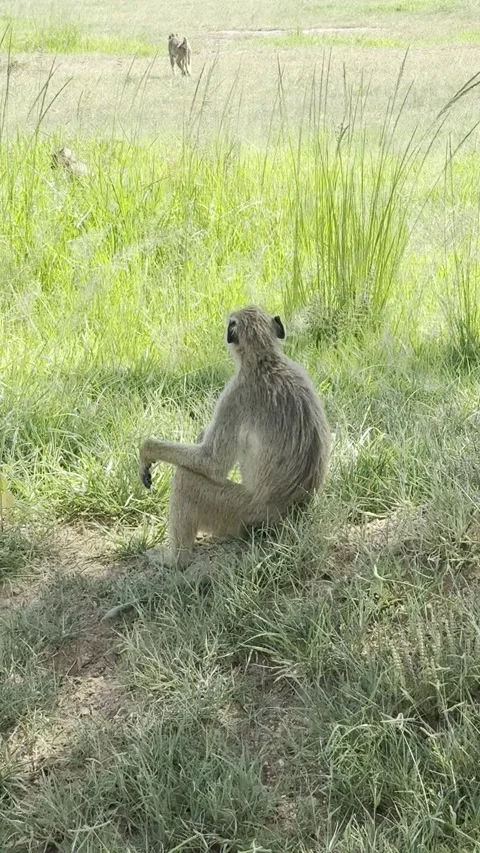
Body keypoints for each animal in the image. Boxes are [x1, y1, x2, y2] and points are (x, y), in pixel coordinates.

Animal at [139, 306, 332, 570]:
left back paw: (176, 559)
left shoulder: (235, 394)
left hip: (239, 512)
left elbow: (212, 463)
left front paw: (147, 450)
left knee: (187, 479)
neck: (264, 359)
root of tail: (292, 516)